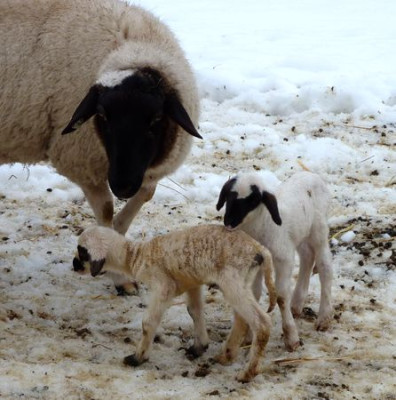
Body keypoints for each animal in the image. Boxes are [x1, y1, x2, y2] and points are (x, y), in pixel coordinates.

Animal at [0, 0, 201, 294]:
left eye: (155, 119)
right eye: (103, 116)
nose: (123, 186)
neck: (132, 47)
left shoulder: (143, 171)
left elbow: (145, 195)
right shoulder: (82, 163)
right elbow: (106, 210)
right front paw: (119, 278)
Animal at [76, 223, 276, 382]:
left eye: (81, 251)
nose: (74, 265)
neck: (136, 256)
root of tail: (259, 249)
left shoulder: (163, 286)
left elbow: (148, 322)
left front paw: (138, 357)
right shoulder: (192, 281)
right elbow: (194, 311)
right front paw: (199, 347)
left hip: (231, 280)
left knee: (261, 322)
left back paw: (247, 373)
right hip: (241, 282)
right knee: (242, 319)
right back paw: (226, 356)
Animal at [217, 170, 334, 352]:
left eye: (253, 200)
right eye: (229, 195)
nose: (229, 221)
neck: (262, 225)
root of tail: (311, 174)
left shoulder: (283, 258)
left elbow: (281, 296)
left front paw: (291, 338)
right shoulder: (256, 262)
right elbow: (254, 294)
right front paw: (249, 336)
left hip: (319, 231)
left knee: (325, 267)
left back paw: (324, 318)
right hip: (299, 235)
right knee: (307, 256)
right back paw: (296, 305)